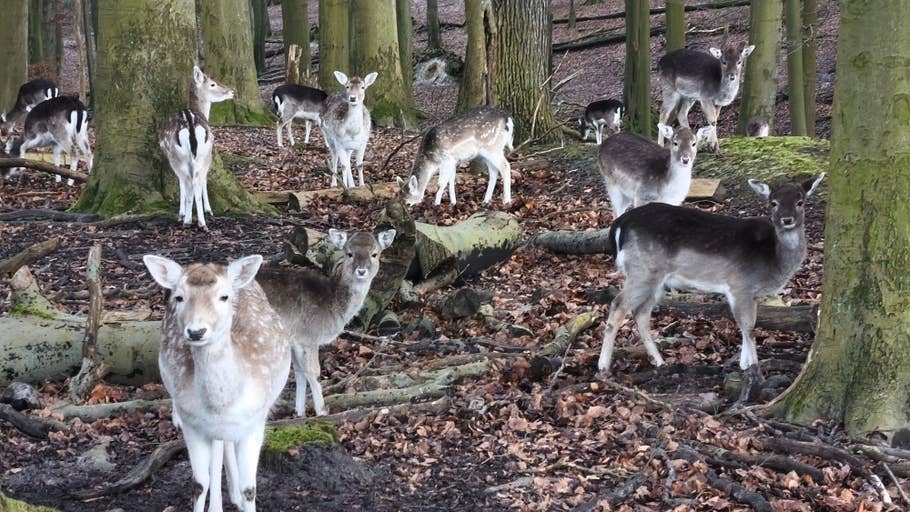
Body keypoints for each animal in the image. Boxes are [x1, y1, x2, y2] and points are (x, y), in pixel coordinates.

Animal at [143, 253, 291, 512]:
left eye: (224, 296)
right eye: (179, 297)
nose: (196, 331)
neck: (221, 403)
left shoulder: (255, 421)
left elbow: (250, 488)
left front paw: (242, 495)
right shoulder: (192, 423)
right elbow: (199, 483)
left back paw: (235, 496)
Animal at [159, 66, 234, 231]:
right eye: (213, 84)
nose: (232, 91)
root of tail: (191, 128)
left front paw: (186, 213)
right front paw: (206, 210)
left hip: (181, 157)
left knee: (190, 181)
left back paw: (191, 220)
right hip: (200, 155)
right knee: (195, 180)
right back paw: (197, 221)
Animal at [257, 228, 396, 417]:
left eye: (374, 254)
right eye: (349, 253)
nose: (361, 271)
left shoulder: (295, 339)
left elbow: (299, 372)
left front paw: (300, 413)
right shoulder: (308, 336)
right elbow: (313, 372)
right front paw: (322, 412)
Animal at [597, 173, 825, 376]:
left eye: (800, 202)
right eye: (773, 203)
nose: (787, 220)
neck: (773, 259)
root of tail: (619, 225)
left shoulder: (752, 294)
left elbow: (749, 325)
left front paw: (744, 364)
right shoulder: (740, 285)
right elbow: (748, 327)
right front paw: (752, 367)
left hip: (655, 280)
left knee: (641, 313)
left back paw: (660, 362)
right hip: (642, 270)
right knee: (618, 306)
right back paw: (603, 366)